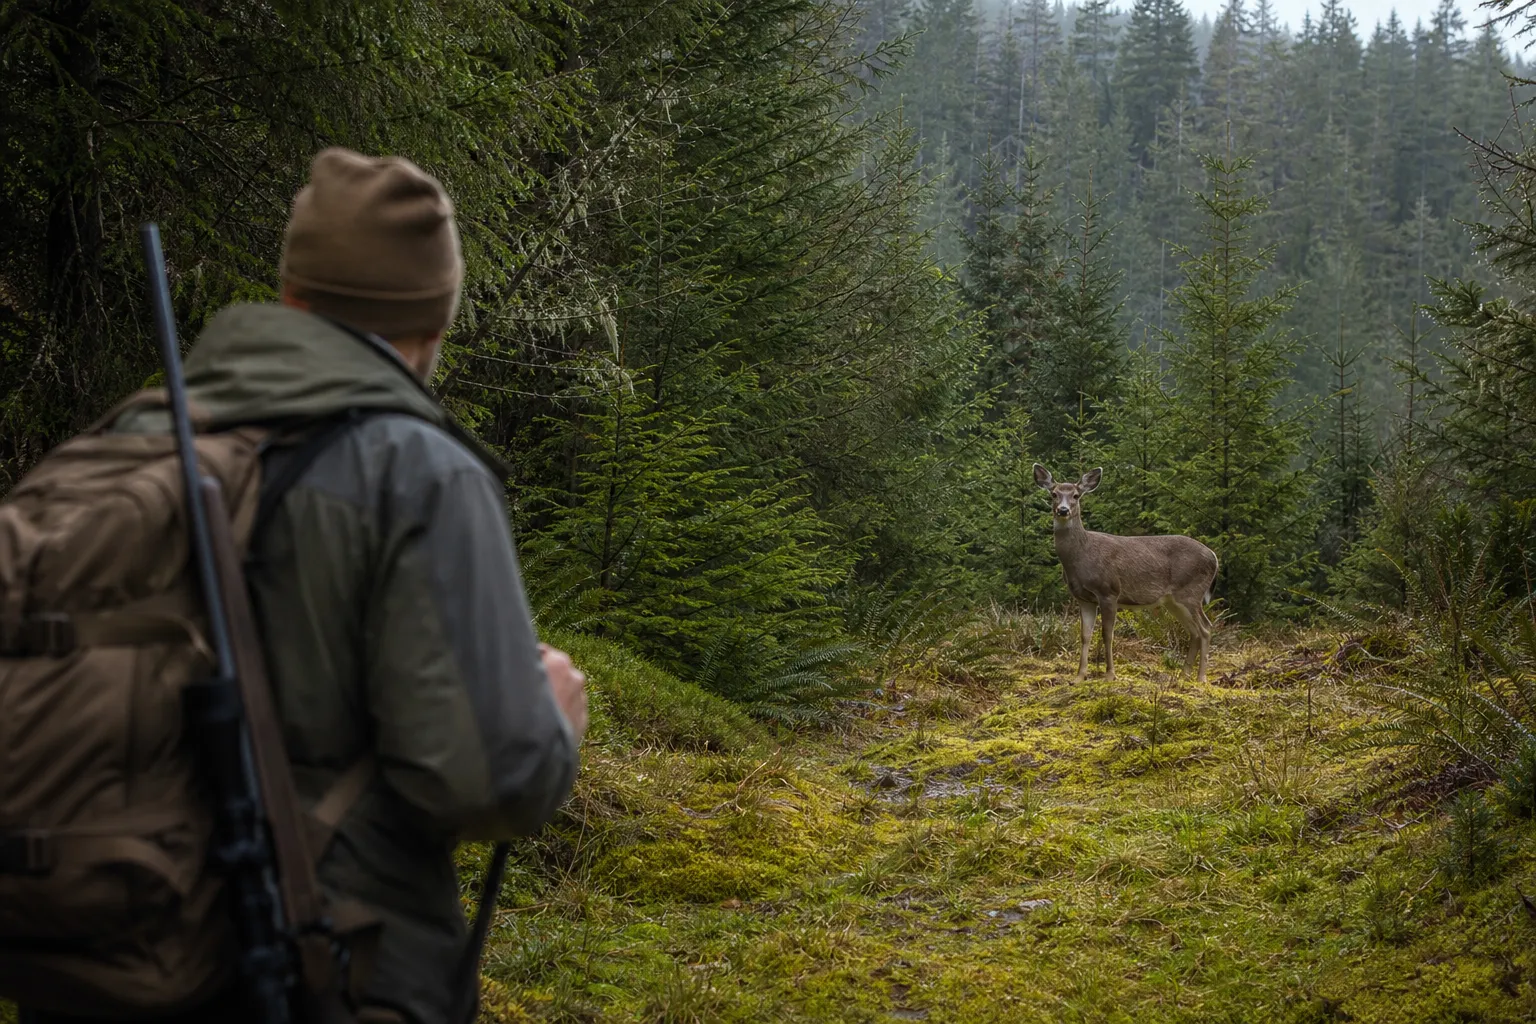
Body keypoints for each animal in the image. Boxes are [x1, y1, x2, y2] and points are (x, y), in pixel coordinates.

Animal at [1033, 465, 1219, 683]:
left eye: (1076, 495)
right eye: (1053, 494)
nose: (1063, 510)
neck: (1081, 556)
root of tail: (1214, 557)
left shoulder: (1109, 591)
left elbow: (1107, 634)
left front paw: (1109, 675)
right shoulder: (1083, 598)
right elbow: (1085, 635)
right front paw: (1078, 677)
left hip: (1191, 591)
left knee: (1206, 628)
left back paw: (1201, 678)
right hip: (1174, 600)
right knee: (1194, 631)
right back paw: (1184, 675)